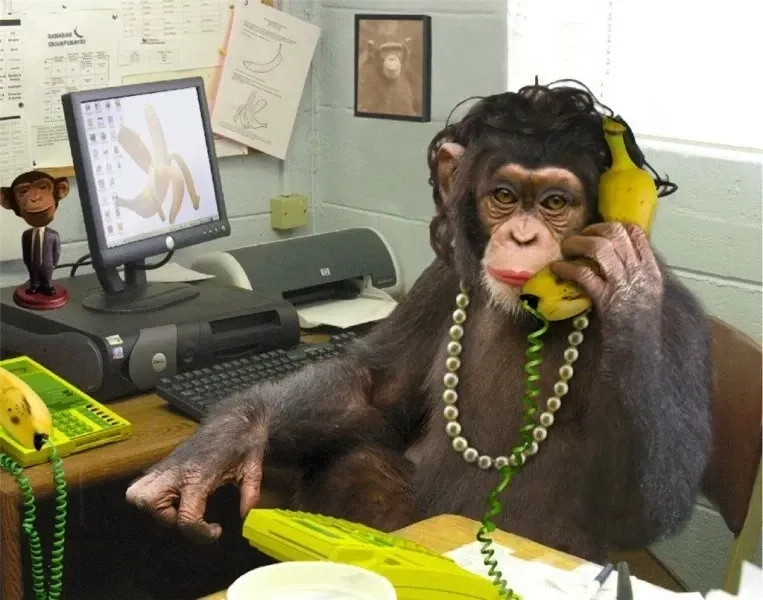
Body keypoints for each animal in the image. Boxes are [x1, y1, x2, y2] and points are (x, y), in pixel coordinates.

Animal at [126, 83, 713, 564]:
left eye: (554, 202)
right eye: (505, 197)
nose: (523, 235)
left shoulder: (678, 322)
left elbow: (646, 503)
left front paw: (622, 278)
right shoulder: (440, 280)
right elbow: (372, 389)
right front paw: (223, 441)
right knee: (360, 461)